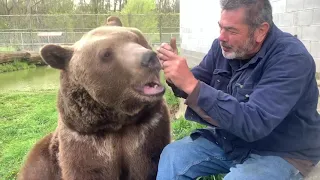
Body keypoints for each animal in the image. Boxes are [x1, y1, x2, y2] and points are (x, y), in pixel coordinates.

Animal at [16, 25, 172, 180]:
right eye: (106, 54)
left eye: (136, 38)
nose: (149, 57)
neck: (116, 122)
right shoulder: (84, 142)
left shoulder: (147, 131)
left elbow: (148, 164)